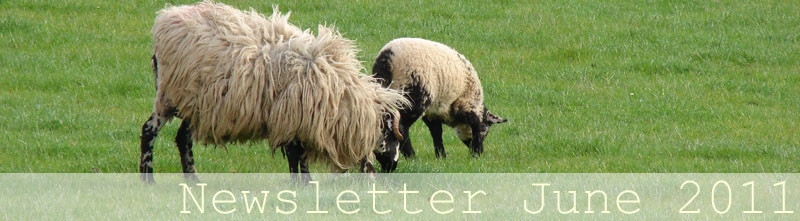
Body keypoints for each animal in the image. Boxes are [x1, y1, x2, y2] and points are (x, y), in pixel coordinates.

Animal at [137, 0, 406, 182]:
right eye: (390, 132)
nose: (393, 167)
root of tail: (165, 19)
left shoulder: (296, 121)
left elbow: (297, 155)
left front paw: (302, 184)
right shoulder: (293, 118)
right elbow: (297, 155)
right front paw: (304, 184)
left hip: (196, 103)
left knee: (182, 138)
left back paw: (193, 180)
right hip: (169, 93)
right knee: (149, 130)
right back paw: (148, 178)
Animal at [370, 38, 506, 172]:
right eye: (486, 131)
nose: (481, 151)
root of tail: (388, 58)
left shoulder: (433, 113)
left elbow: (437, 132)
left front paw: (441, 157)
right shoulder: (466, 105)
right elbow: (475, 125)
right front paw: (476, 154)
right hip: (414, 95)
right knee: (401, 126)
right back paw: (412, 157)